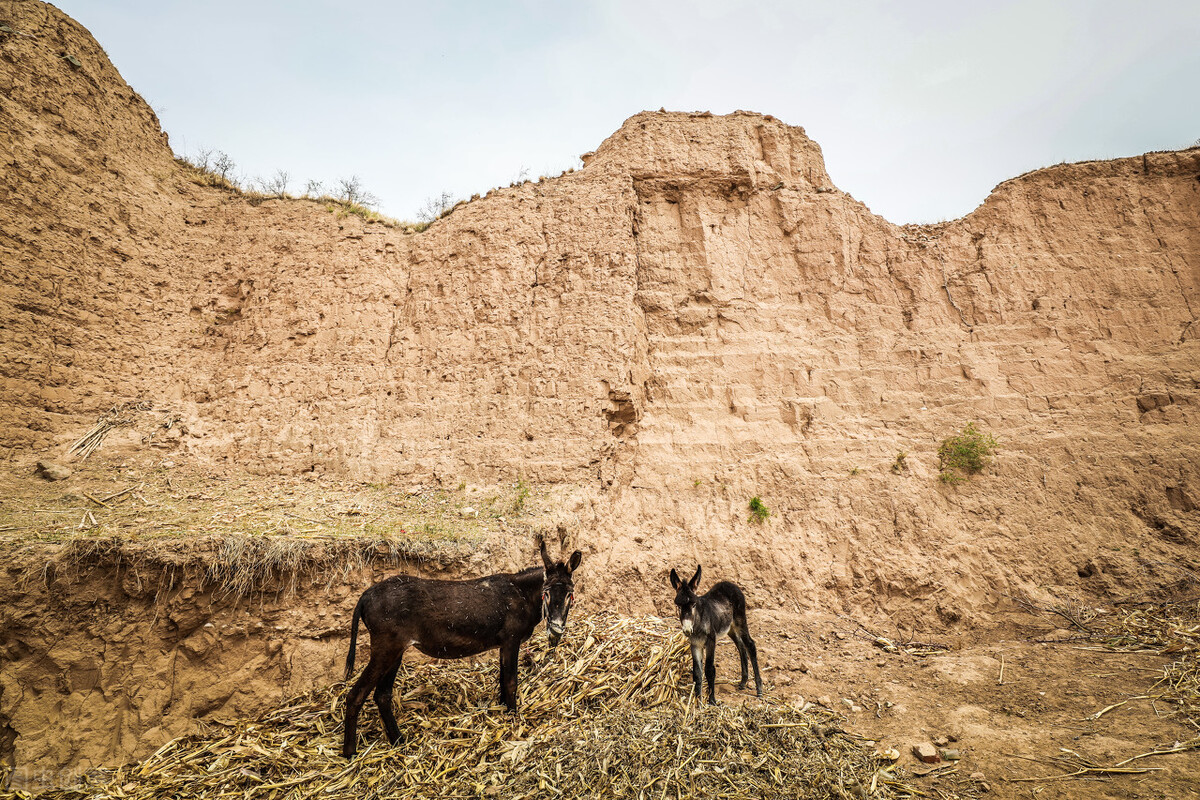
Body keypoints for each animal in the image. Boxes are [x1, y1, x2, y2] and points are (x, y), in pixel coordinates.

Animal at [667, 566, 758, 705]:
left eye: (694, 604)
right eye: (678, 606)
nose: (687, 630)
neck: (698, 623)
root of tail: (730, 583)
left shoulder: (711, 641)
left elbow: (709, 669)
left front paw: (712, 700)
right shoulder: (695, 644)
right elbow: (697, 673)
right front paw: (698, 700)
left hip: (740, 620)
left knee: (750, 644)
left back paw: (760, 690)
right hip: (730, 627)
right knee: (740, 645)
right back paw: (743, 682)